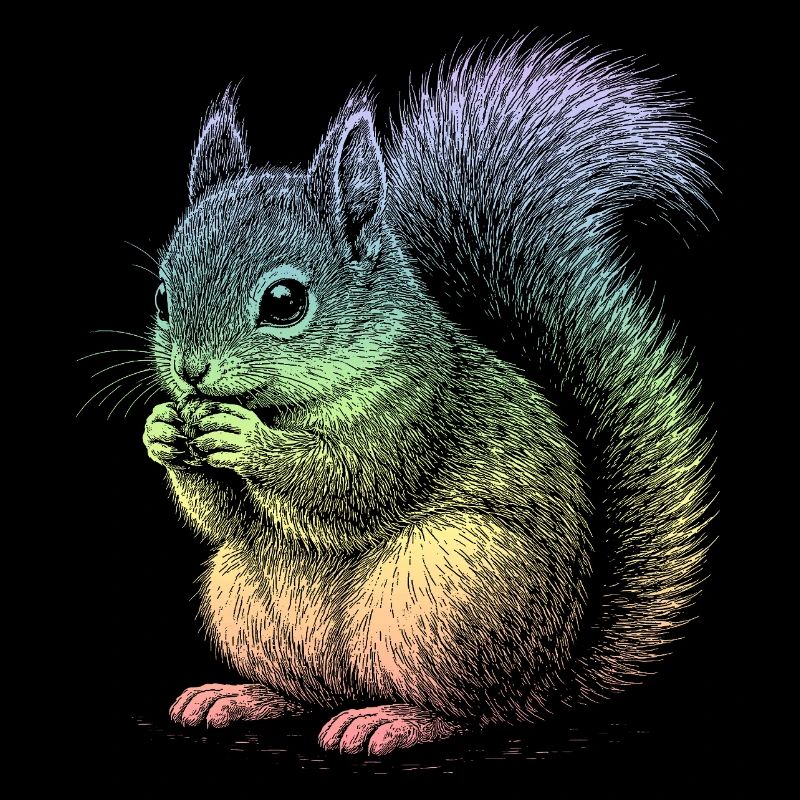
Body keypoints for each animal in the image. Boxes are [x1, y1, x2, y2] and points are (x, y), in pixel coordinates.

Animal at [141, 37, 714, 756]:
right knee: (310, 692)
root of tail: (546, 683)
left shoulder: (416, 410)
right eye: (162, 296)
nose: (191, 372)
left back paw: (394, 719)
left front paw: (247, 442)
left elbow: (352, 484)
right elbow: (226, 520)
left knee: (471, 710)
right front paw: (162, 430)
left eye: (285, 302)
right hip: (244, 600)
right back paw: (243, 696)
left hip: (446, 593)